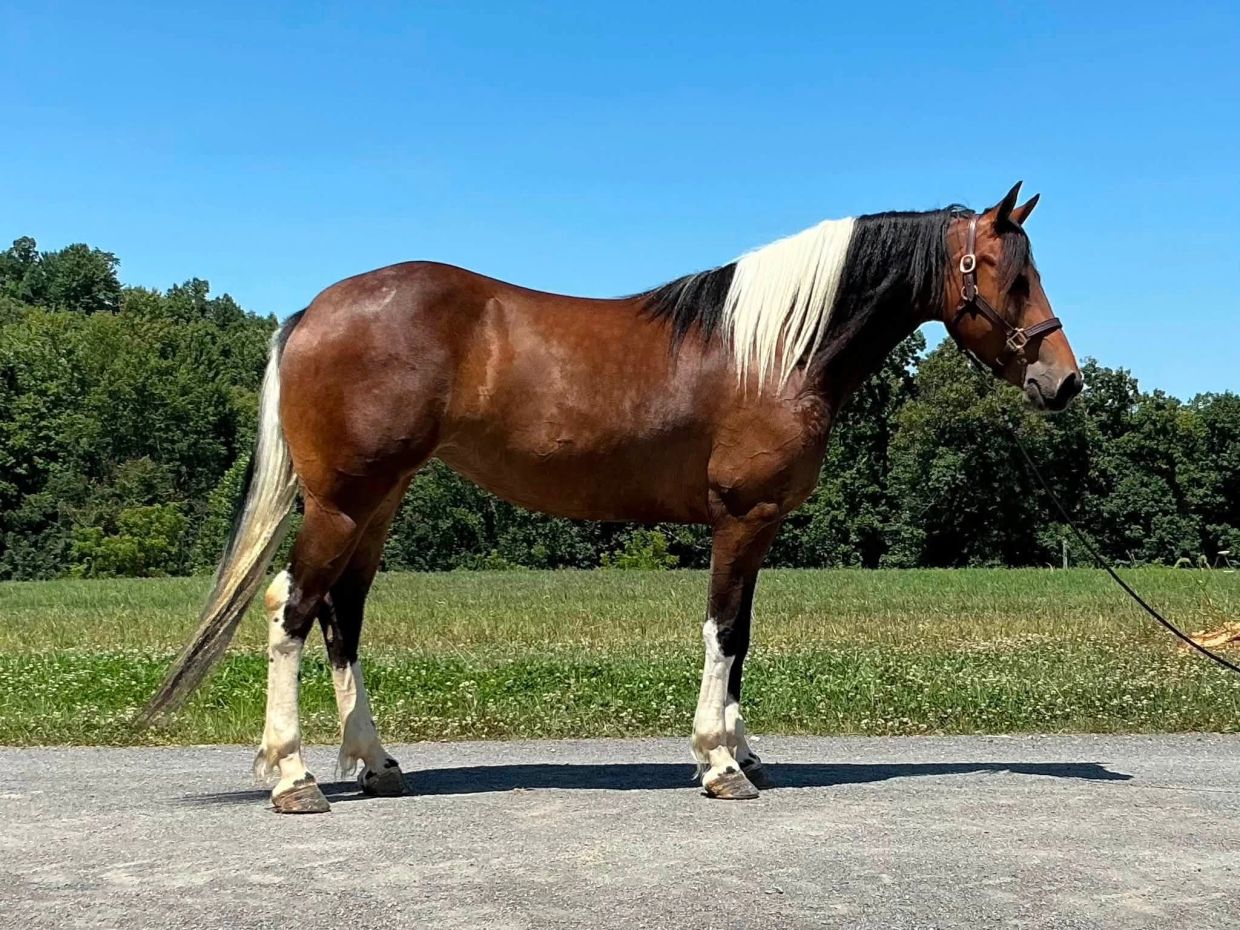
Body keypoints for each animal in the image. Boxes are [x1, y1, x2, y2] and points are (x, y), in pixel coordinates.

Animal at [143, 182, 1081, 812]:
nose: (1064, 382)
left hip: (378, 505)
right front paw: (718, 764)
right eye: (1008, 276)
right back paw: (294, 776)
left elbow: (743, 638)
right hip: (342, 502)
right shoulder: (740, 520)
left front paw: (745, 753)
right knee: (292, 609)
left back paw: (376, 766)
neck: (772, 348)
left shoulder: (757, 528)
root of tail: (311, 312)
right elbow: (724, 632)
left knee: (343, 617)